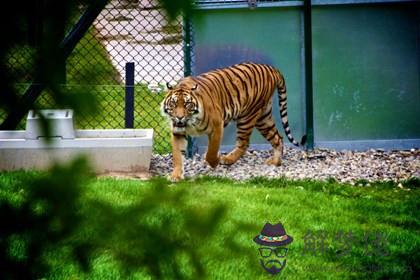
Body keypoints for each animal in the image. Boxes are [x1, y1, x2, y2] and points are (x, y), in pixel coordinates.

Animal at [161, 61, 306, 182]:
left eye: (187, 105)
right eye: (173, 104)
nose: (179, 117)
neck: (189, 121)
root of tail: (272, 69)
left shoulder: (217, 126)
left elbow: (211, 152)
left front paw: (216, 161)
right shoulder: (177, 132)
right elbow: (177, 155)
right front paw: (176, 176)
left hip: (248, 116)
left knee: (244, 143)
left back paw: (227, 159)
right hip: (263, 118)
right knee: (277, 138)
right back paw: (275, 162)